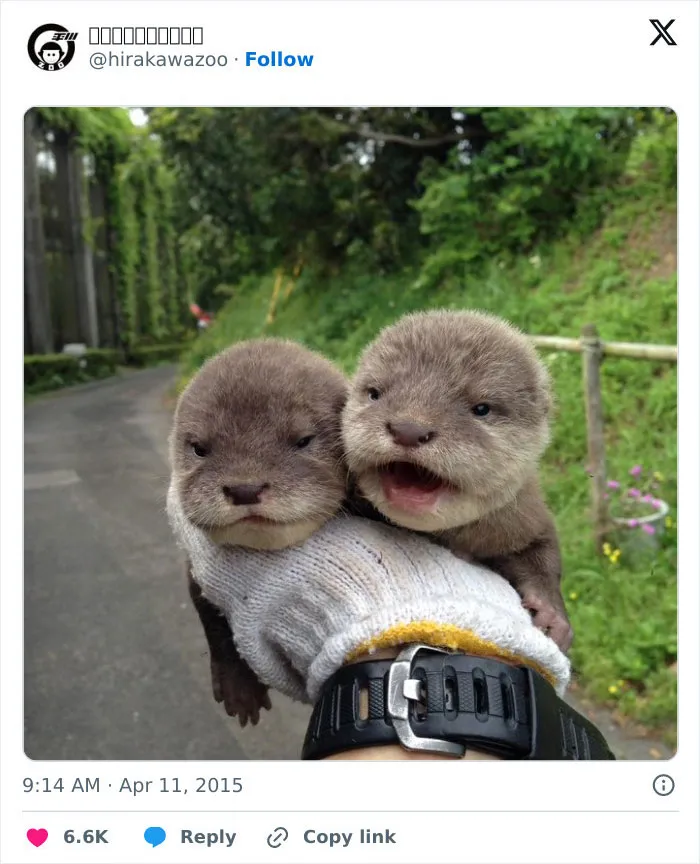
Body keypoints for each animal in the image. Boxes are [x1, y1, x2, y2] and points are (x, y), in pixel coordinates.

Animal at [169, 338, 350, 725]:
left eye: (303, 440)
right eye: (200, 448)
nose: (245, 489)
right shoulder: (195, 574)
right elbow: (213, 624)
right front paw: (239, 687)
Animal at [341, 309, 573, 652]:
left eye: (481, 408)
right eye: (375, 393)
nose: (408, 428)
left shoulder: (523, 516)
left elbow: (544, 551)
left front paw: (551, 612)